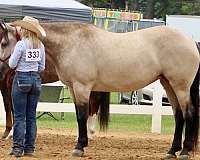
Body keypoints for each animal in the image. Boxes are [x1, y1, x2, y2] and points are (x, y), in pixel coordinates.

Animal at [0, 21, 199, 160]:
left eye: (3, 42)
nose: (2, 67)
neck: (71, 44)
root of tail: (190, 41)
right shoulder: (73, 88)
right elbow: (80, 116)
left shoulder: (82, 87)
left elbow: (82, 116)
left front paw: (79, 147)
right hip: (168, 84)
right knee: (178, 116)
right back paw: (172, 151)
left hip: (180, 86)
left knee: (189, 113)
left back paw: (185, 151)